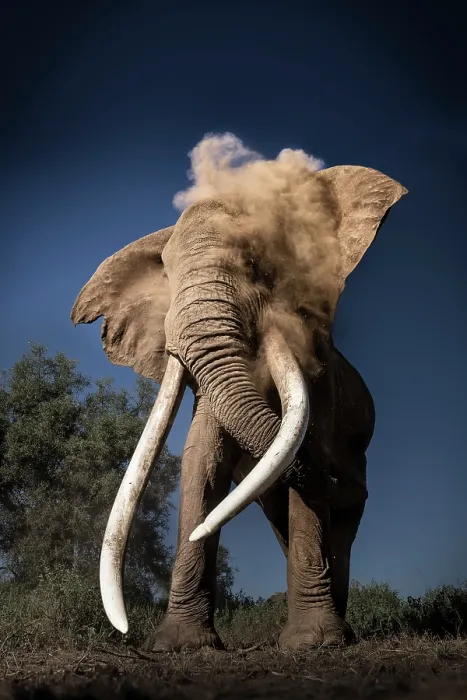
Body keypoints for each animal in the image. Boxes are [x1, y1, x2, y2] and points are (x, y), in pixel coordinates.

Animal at [71, 160, 407, 651]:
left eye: (257, 264)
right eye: (168, 278)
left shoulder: (320, 371)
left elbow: (309, 451)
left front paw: (311, 643)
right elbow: (202, 461)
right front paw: (179, 645)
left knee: (340, 522)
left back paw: (339, 632)